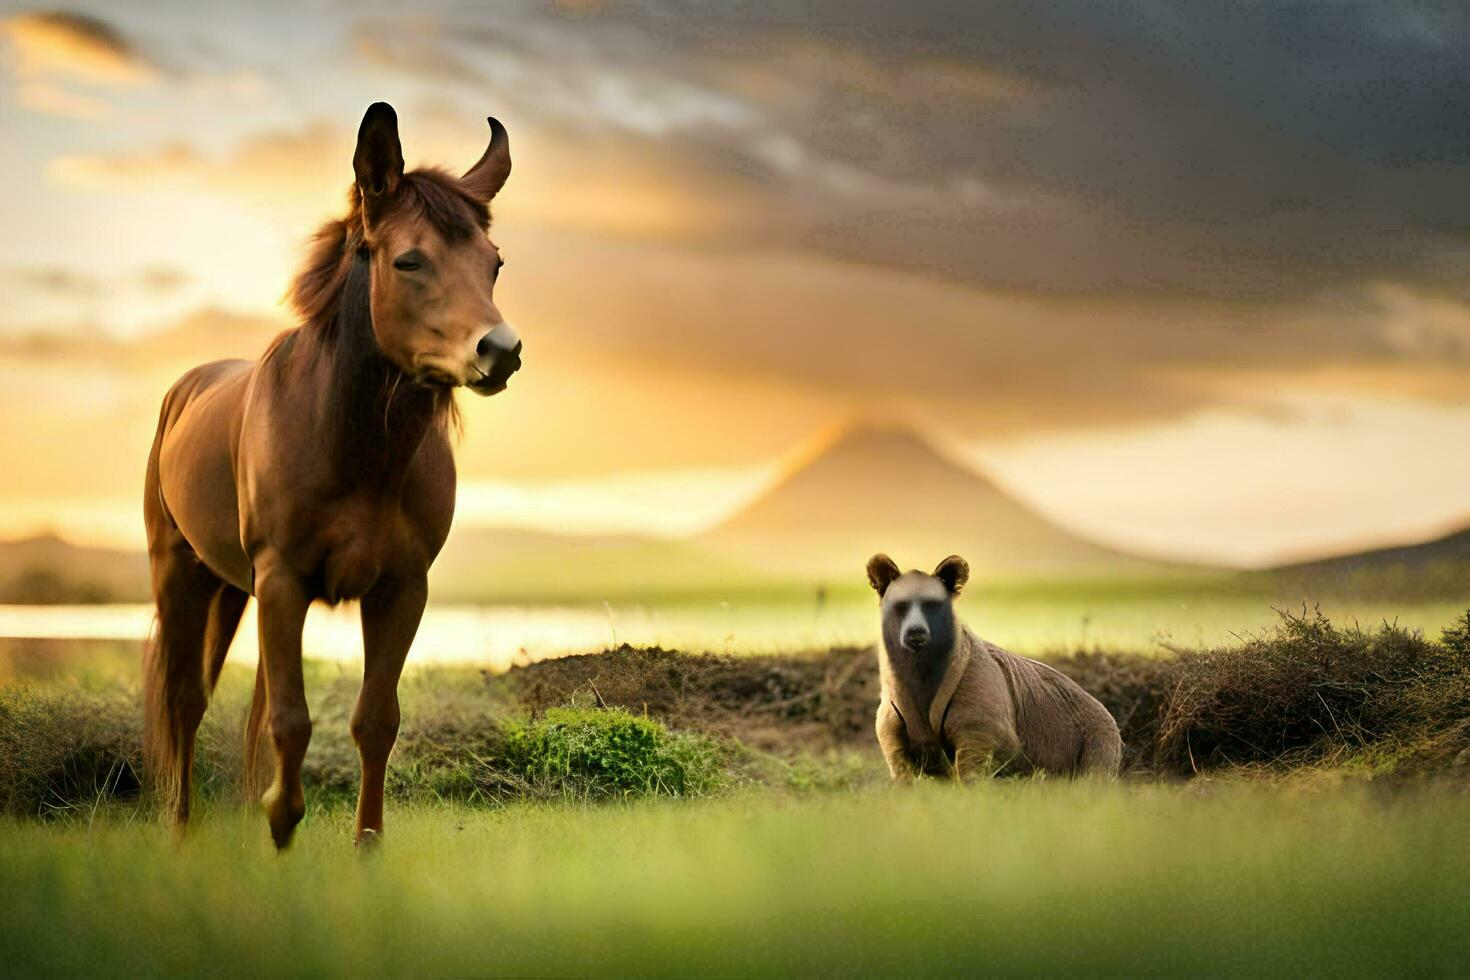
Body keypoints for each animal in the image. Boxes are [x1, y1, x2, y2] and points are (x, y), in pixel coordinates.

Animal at [143, 103, 523, 846]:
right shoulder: (284, 577)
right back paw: (181, 829)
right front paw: (282, 822)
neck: (352, 447)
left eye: (493, 263)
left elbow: (374, 721)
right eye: (409, 259)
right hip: (181, 574)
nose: (500, 351)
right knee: (184, 699)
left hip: (240, 590)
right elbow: (291, 719)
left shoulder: (401, 589)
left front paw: (363, 844)